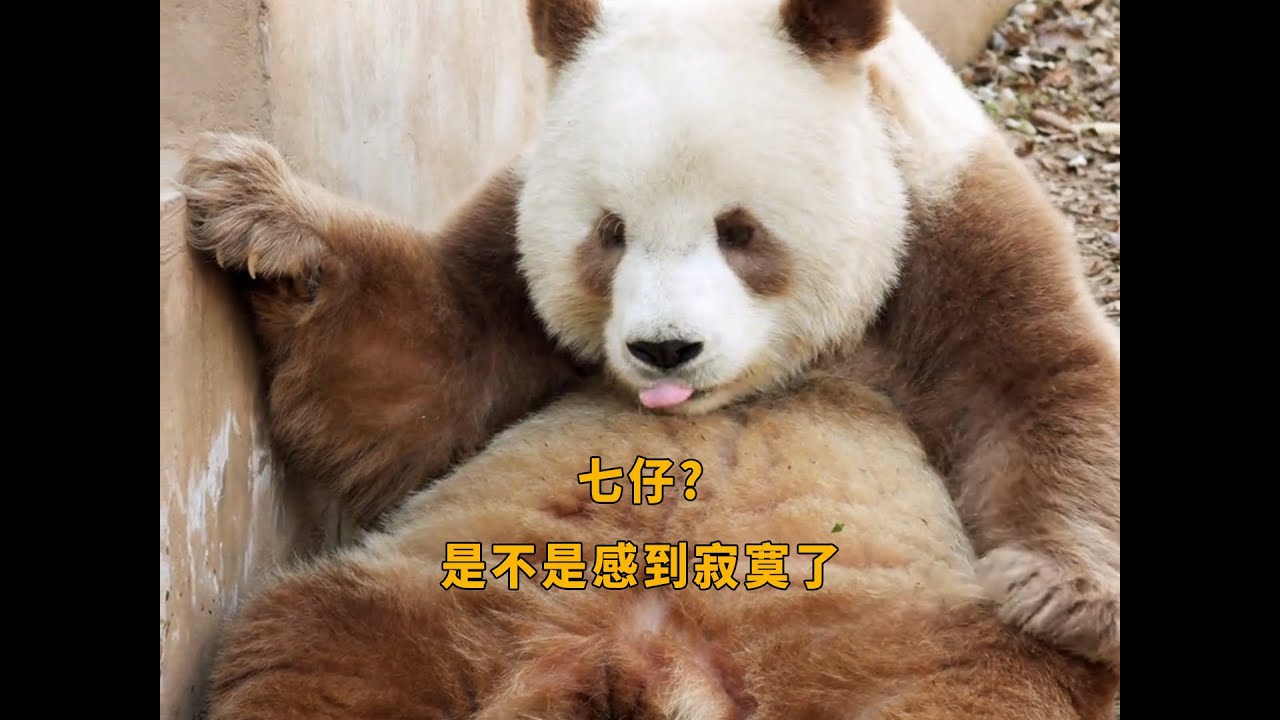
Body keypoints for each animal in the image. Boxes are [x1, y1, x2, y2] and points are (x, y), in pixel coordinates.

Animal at [178, 0, 1120, 715]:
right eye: (609, 231)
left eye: (740, 231)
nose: (665, 348)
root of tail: (650, 668)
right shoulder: (513, 227)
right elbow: (427, 369)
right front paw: (256, 207)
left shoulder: (951, 220)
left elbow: (1045, 389)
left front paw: (1062, 594)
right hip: (463, 591)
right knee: (317, 643)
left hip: (884, 633)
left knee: (976, 686)